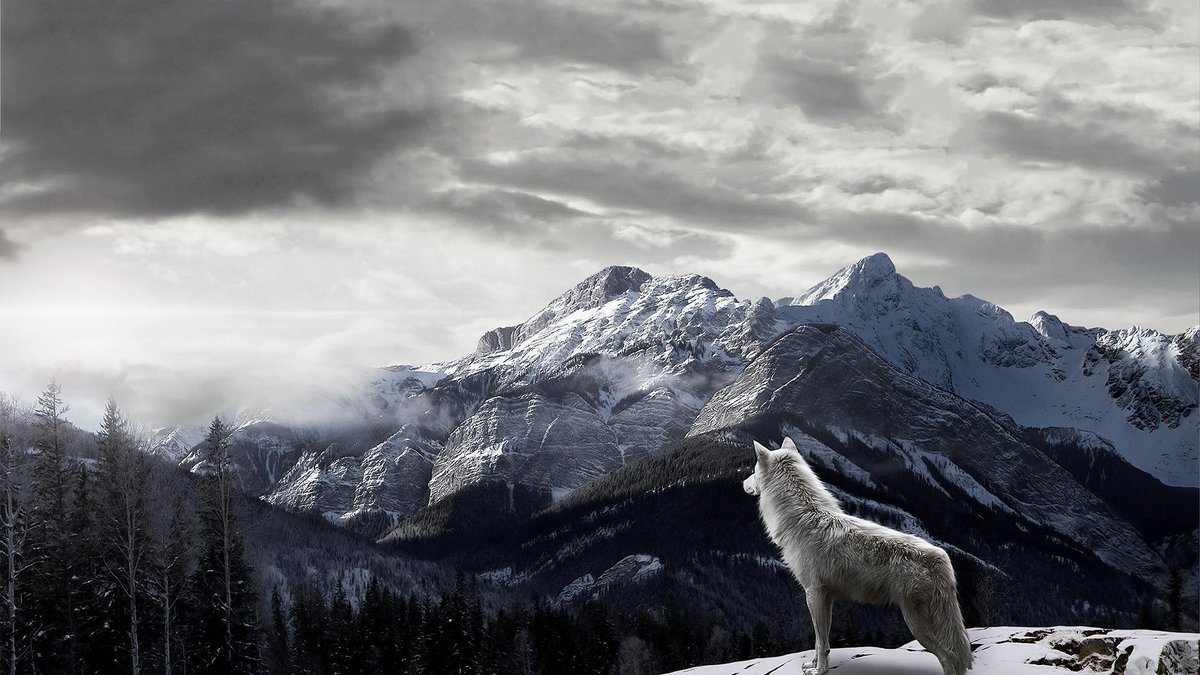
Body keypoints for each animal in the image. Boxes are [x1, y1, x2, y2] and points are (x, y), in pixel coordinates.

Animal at [743, 437, 973, 675]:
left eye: (753, 471)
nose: (742, 482)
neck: (802, 517)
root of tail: (941, 557)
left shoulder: (813, 593)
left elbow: (820, 641)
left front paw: (819, 670)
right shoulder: (826, 597)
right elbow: (821, 641)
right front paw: (814, 664)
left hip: (917, 625)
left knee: (949, 657)